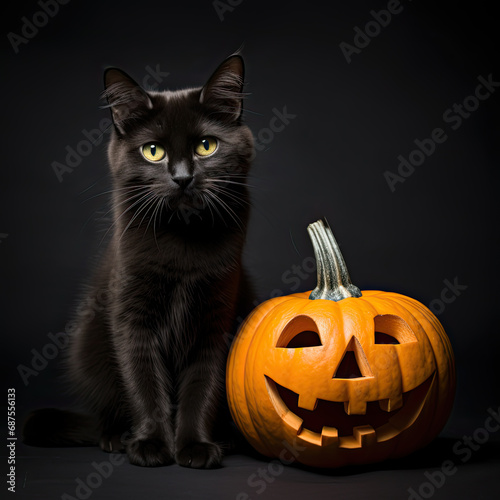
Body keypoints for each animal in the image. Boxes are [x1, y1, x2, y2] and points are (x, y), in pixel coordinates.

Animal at [22, 54, 254, 468]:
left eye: (206, 146)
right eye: (153, 151)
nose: (182, 178)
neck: (183, 240)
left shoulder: (216, 317)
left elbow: (204, 384)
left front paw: (195, 446)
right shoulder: (131, 314)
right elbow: (142, 379)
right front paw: (150, 444)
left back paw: (226, 438)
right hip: (89, 346)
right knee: (107, 411)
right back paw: (115, 437)